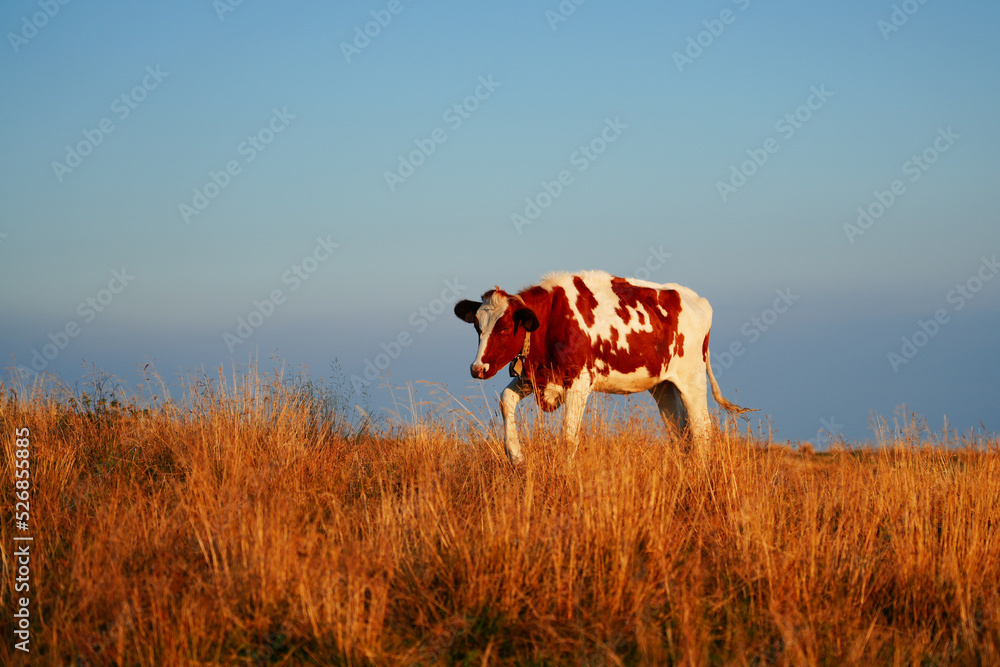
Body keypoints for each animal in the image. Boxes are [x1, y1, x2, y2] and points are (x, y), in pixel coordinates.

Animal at [454, 270, 750, 463]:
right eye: (477, 326)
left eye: (504, 328)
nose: (477, 368)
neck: (551, 319)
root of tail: (697, 299)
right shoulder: (536, 376)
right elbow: (506, 399)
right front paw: (515, 455)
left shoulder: (578, 380)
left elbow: (569, 435)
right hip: (663, 385)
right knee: (679, 430)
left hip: (692, 378)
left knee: (702, 430)